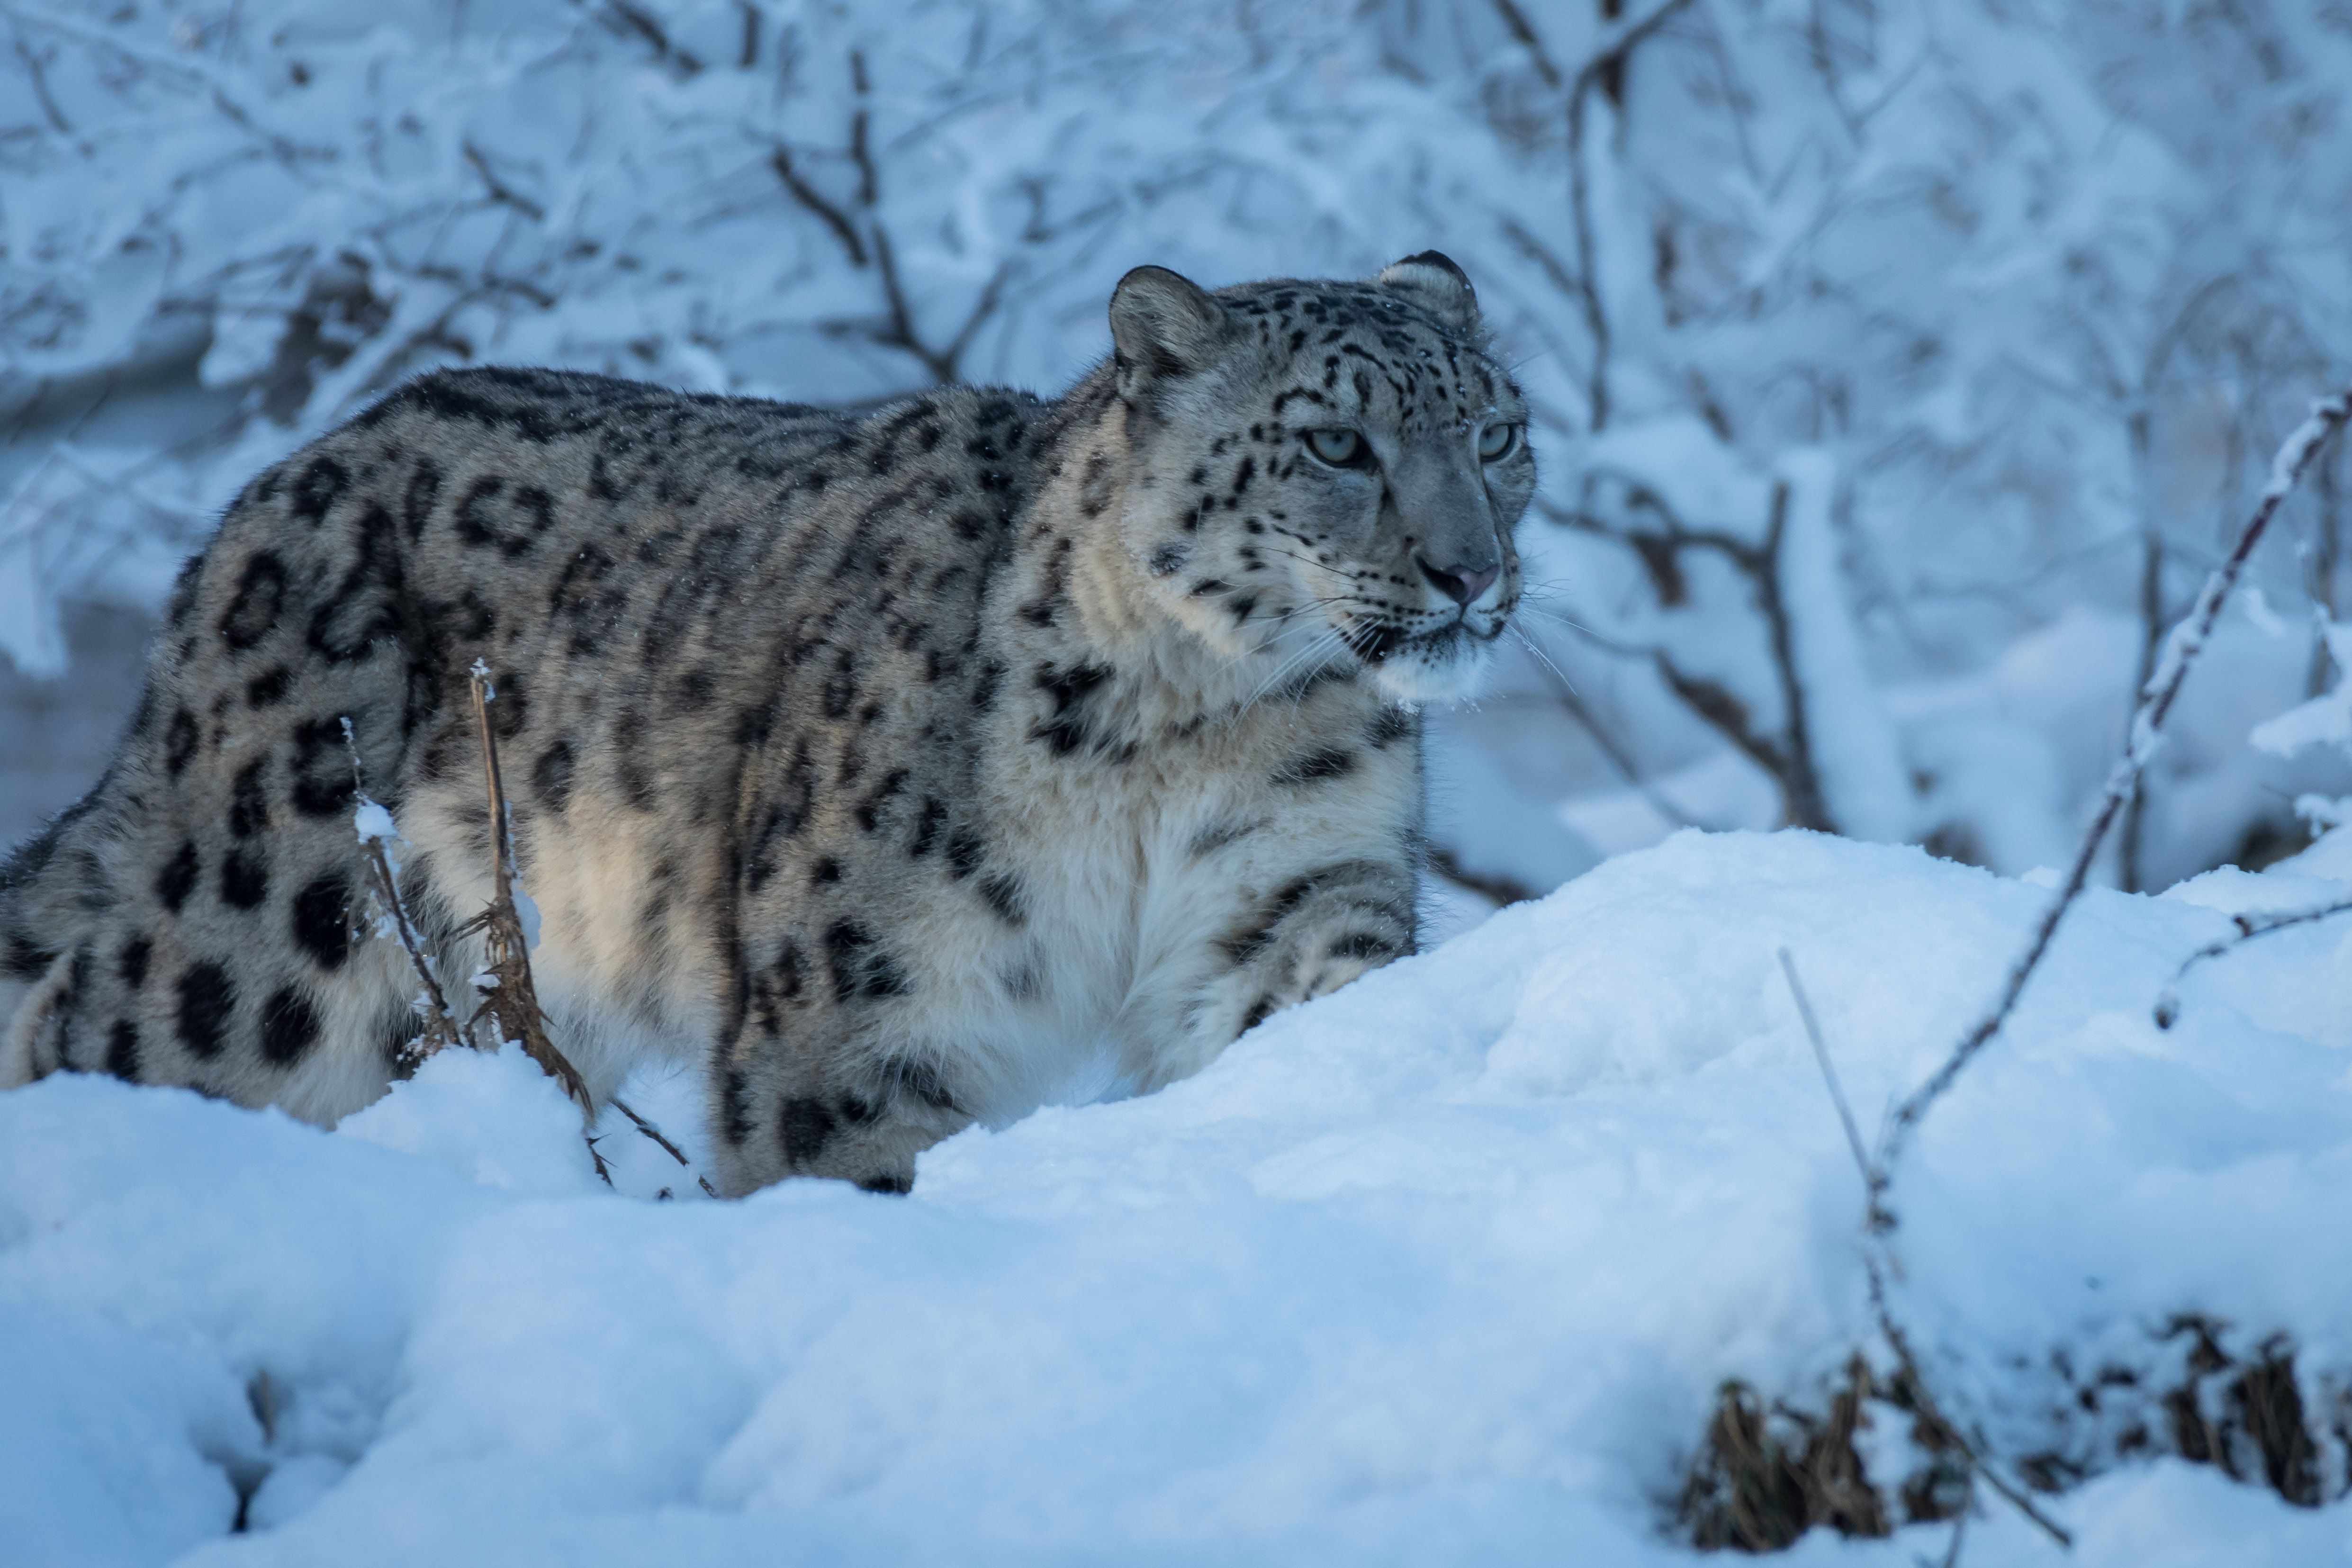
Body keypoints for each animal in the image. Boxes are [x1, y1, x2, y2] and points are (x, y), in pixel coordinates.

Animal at [0, 255, 1533, 1190]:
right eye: (1334, 441)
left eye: (1498, 432)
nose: (1472, 570)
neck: (1188, 731)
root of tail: (256, 505)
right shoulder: (866, 989)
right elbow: (847, 1151)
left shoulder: (1286, 881)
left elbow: (1319, 990)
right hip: (270, 955)